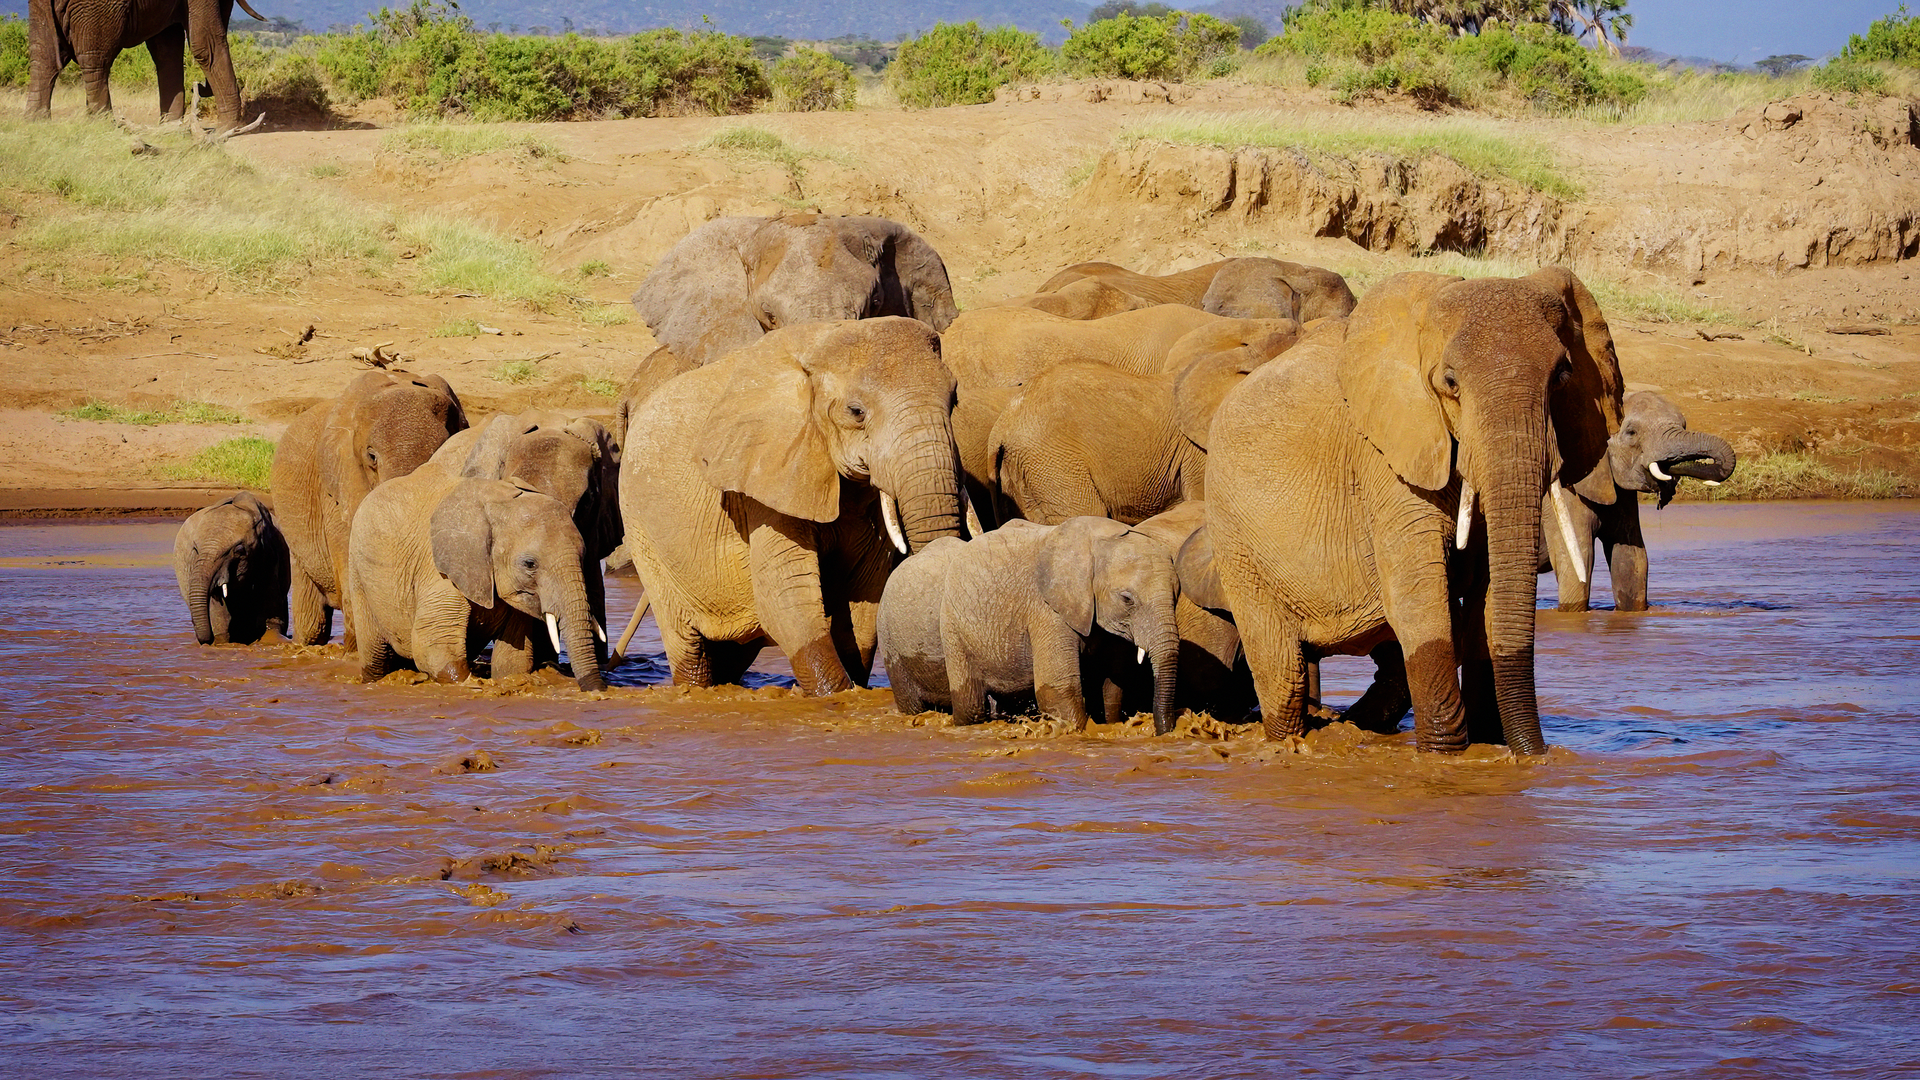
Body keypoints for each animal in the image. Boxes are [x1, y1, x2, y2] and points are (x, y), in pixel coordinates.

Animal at [24, 0, 267, 132]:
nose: (198, 86)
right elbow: (206, 45)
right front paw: (229, 128)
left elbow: (166, 48)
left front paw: (170, 125)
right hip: (95, 7)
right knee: (97, 61)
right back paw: (102, 123)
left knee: (43, 57)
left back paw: (36, 121)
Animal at [347, 464, 605, 692]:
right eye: (530, 564)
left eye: (583, 557)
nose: (598, 688)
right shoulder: (440, 570)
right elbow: (434, 647)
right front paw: (471, 685)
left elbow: (512, 660)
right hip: (359, 575)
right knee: (377, 656)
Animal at [619, 317, 973, 695]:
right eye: (856, 412)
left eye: (954, 400)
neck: (821, 344)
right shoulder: (764, 476)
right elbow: (785, 601)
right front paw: (833, 695)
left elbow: (864, 602)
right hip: (644, 539)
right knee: (689, 647)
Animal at [877, 516, 1181, 734]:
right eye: (1127, 599)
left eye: (1177, 594)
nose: (1164, 732)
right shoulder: (1046, 610)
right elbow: (1056, 691)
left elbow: (1112, 689)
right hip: (944, 630)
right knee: (968, 705)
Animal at [1205, 268, 1623, 755]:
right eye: (1450, 383)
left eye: (1562, 376)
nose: (1539, 755)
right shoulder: (1386, 459)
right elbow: (1419, 600)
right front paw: (1445, 758)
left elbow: (1485, 603)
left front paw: (1490, 749)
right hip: (1236, 540)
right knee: (1283, 674)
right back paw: (1287, 741)